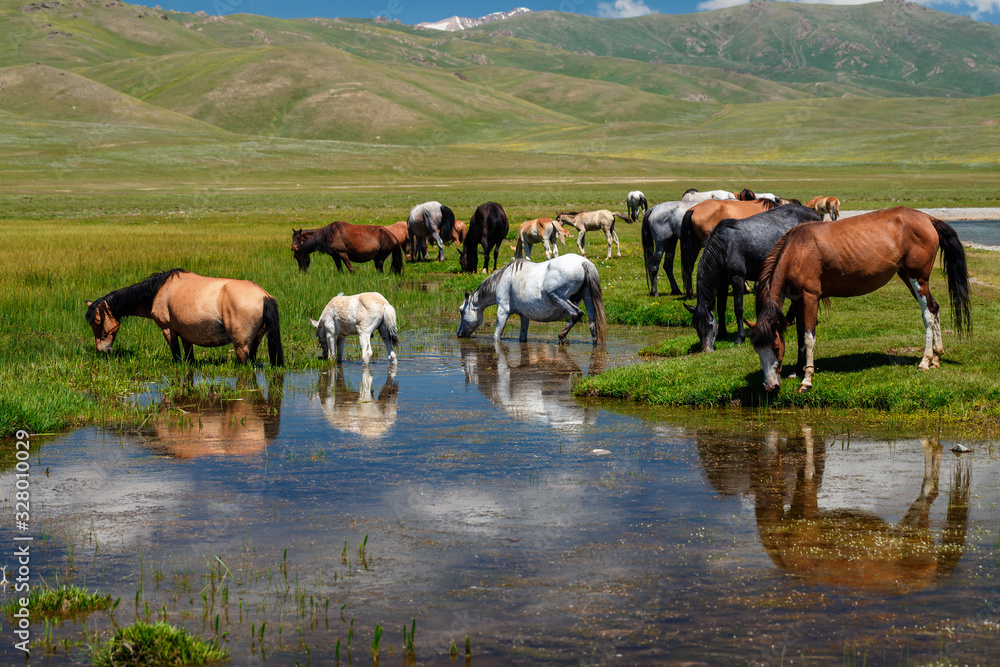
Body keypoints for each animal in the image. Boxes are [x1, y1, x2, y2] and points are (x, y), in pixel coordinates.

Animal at [85, 268, 284, 366]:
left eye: (98, 322)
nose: (102, 350)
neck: (159, 290)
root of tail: (264, 296)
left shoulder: (168, 329)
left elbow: (176, 356)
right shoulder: (186, 335)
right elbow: (189, 358)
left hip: (241, 346)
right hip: (255, 341)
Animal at [457, 255, 607, 345]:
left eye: (461, 311)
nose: (459, 334)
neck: (503, 278)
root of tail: (583, 262)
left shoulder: (503, 311)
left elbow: (497, 335)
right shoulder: (524, 316)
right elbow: (522, 337)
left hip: (557, 296)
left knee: (576, 313)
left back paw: (562, 336)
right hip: (588, 299)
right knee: (592, 325)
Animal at [683, 203, 821, 351]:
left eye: (709, 324)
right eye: (696, 326)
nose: (707, 349)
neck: (723, 247)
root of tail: (815, 215)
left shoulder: (737, 279)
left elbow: (738, 308)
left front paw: (740, 337)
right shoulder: (722, 284)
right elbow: (721, 308)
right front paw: (722, 334)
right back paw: (790, 319)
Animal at [747, 207, 972, 393]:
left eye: (776, 347)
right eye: (757, 349)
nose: (770, 387)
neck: (798, 249)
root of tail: (927, 218)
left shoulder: (810, 297)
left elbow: (809, 338)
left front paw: (807, 380)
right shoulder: (797, 300)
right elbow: (801, 335)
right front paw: (796, 371)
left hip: (918, 278)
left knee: (927, 315)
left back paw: (925, 361)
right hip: (907, 276)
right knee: (934, 307)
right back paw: (936, 356)